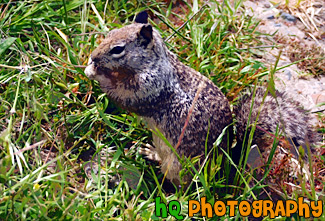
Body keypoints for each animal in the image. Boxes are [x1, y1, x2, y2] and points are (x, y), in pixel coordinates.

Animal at [85, 11, 318, 186]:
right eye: (110, 33)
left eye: (118, 49)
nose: (94, 56)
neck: (155, 63)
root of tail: (226, 163)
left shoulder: (149, 89)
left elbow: (124, 98)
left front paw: (94, 73)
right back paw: (150, 152)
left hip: (179, 166)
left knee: (181, 185)